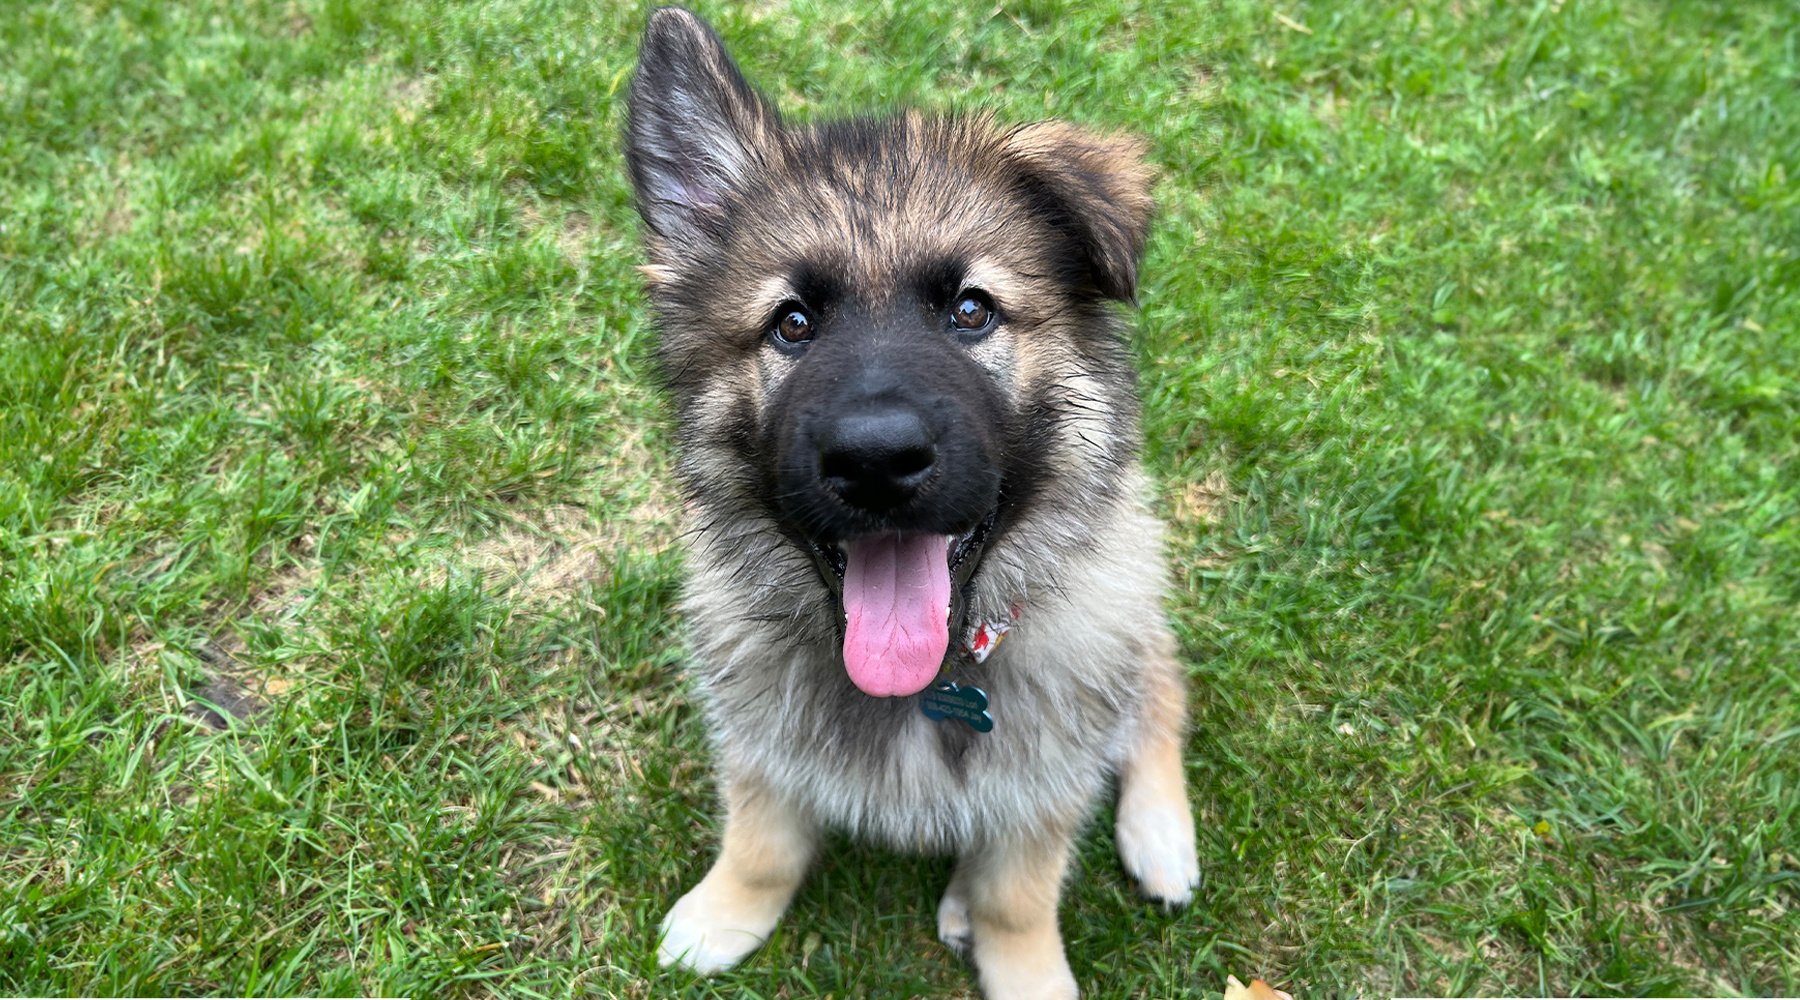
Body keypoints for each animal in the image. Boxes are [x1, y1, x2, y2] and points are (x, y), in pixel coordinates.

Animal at [626, 5, 1202, 992]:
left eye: (971, 310)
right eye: (792, 323)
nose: (875, 460)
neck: (928, 678)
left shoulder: (1046, 776)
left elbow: (1020, 895)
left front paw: (1027, 970)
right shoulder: (759, 741)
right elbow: (762, 840)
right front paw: (724, 913)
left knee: (1161, 687)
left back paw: (1159, 835)